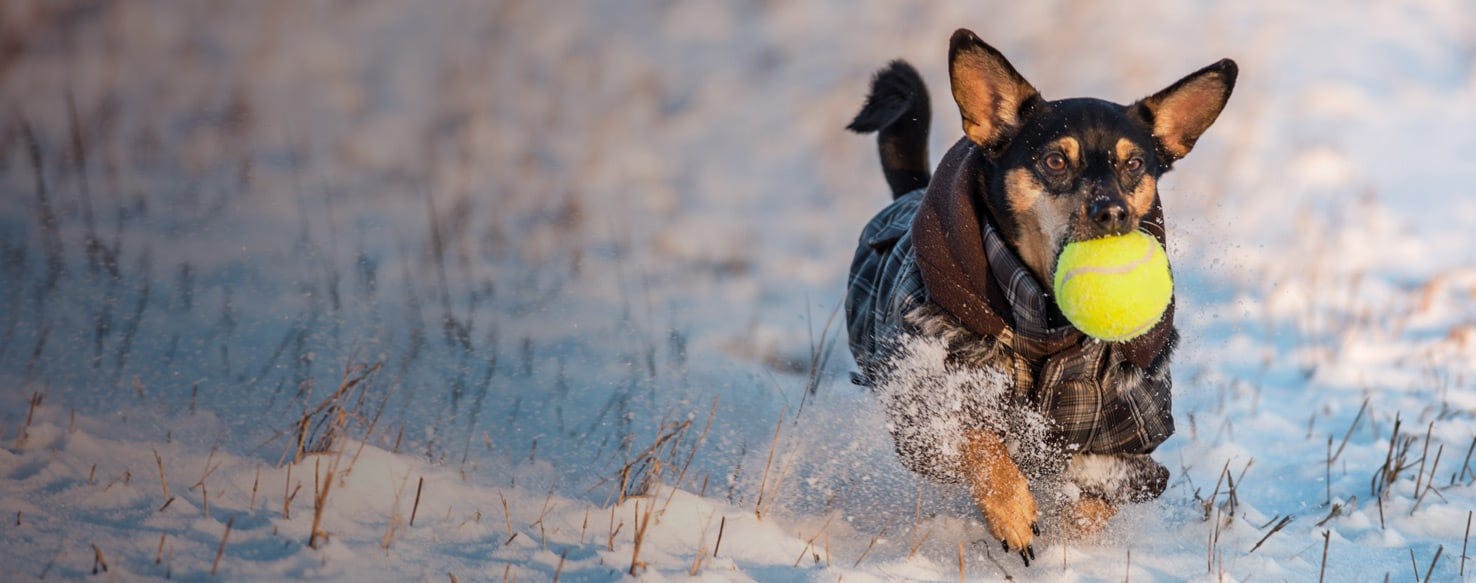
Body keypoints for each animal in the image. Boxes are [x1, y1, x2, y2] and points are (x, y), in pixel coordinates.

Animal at [844, 28, 1233, 566]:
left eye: (1134, 163)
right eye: (1054, 160)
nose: (1112, 212)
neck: (1047, 325)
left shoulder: (1127, 434)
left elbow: (1095, 505)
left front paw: (1071, 541)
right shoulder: (929, 402)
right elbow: (980, 442)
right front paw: (1013, 513)